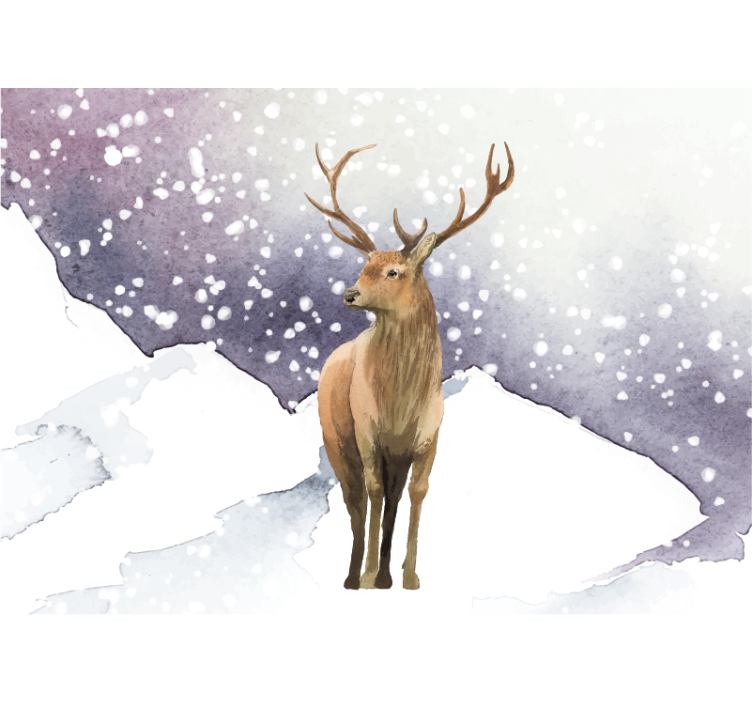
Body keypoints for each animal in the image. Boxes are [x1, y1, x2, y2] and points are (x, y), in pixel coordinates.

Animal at [305, 140, 514, 589]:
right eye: (363, 266)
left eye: (393, 271)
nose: (349, 294)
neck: (400, 402)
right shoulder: (367, 431)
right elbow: (372, 493)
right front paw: (369, 575)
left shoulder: (427, 437)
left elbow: (417, 493)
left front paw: (409, 576)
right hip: (336, 439)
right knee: (355, 502)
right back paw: (353, 577)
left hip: (393, 456)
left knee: (390, 501)